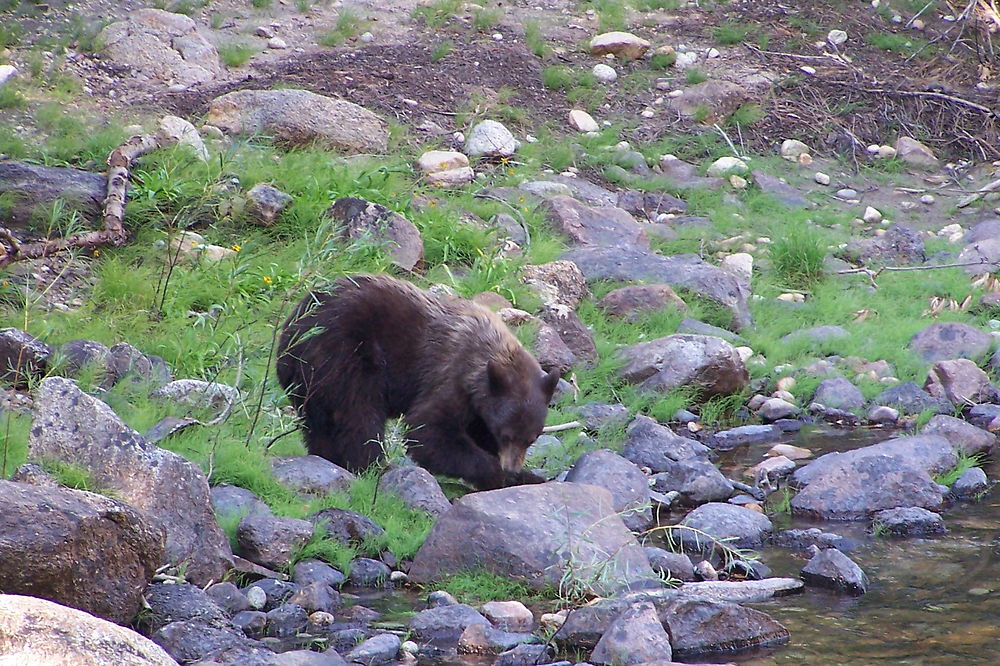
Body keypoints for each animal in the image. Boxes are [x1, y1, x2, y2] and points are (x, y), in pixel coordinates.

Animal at [276, 274, 564, 488]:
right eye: (507, 434)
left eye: (532, 438)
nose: (511, 466)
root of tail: (289, 337)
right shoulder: (450, 374)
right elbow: (428, 431)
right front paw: (497, 472)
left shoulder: (480, 408)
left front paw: (528, 476)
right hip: (346, 353)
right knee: (358, 413)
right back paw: (378, 466)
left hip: (312, 381)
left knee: (320, 424)